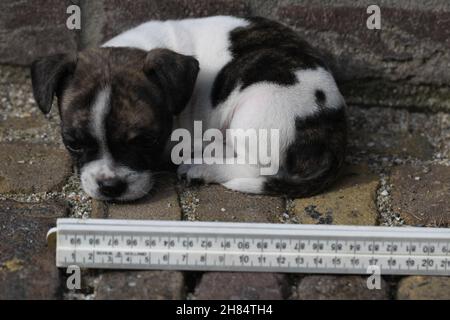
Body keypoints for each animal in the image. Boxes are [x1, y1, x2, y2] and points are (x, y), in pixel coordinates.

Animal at [30, 16, 348, 201]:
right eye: (73, 143)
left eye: (147, 140)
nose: (110, 187)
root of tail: (334, 135)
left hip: (259, 105)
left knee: (258, 167)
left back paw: (202, 166)